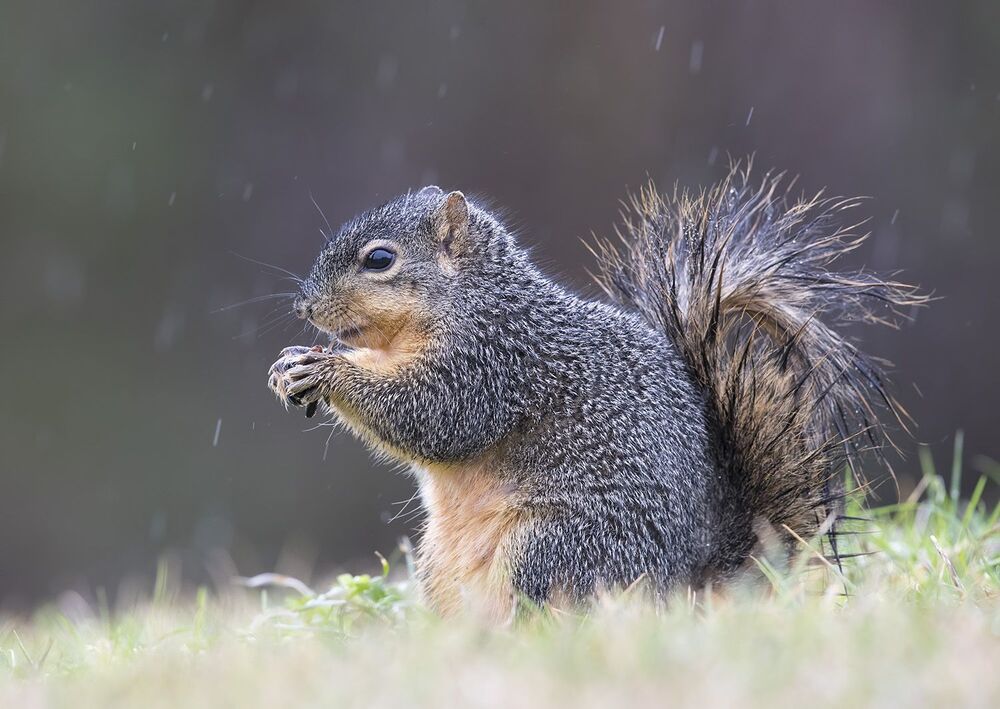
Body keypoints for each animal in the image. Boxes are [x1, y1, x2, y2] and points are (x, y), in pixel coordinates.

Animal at [267, 164, 924, 621]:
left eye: (380, 259)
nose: (304, 307)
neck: (473, 298)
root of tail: (689, 582)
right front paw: (291, 364)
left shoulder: (494, 360)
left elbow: (434, 416)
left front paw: (330, 372)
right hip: (441, 566)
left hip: (554, 548)